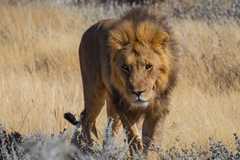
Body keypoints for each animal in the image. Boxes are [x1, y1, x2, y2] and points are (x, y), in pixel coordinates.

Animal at [78, 7, 177, 159]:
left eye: (148, 66)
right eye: (125, 67)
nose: (137, 92)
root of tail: (89, 30)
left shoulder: (159, 109)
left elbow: (152, 142)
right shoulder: (124, 107)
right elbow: (133, 137)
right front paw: (137, 153)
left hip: (111, 104)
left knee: (110, 129)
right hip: (94, 92)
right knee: (86, 119)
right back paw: (88, 149)